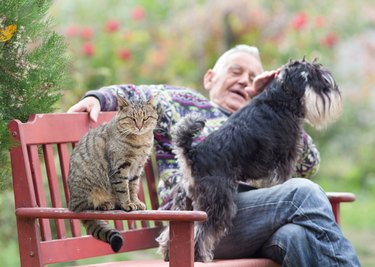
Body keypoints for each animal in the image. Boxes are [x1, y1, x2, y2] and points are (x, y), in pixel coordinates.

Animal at [68, 93, 158, 253]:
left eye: (146, 118)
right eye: (132, 118)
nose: (139, 126)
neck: (140, 141)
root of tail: (72, 203)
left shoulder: (137, 167)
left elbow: (133, 187)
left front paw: (135, 202)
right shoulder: (120, 167)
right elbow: (123, 189)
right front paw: (128, 204)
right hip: (88, 190)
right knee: (87, 205)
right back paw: (106, 204)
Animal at [158, 58, 344, 262]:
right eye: (321, 80)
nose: (336, 92)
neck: (280, 99)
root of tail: (192, 153)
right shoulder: (285, 158)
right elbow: (283, 180)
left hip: (184, 203)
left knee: (172, 232)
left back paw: (169, 253)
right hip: (218, 203)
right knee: (203, 231)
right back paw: (200, 256)